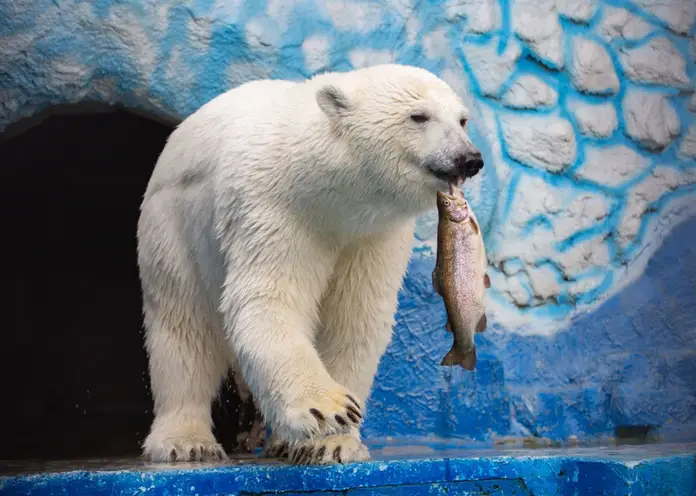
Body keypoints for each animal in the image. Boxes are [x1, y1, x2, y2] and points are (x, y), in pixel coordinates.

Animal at [136, 65, 484, 464]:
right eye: (419, 116)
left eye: (462, 120)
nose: (469, 158)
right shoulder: (276, 209)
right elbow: (269, 300)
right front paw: (328, 409)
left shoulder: (374, 234)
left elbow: (354, 318)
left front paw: (334, 443)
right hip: (173, 232)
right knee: (183, 329)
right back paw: (186, 441)